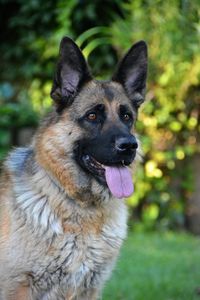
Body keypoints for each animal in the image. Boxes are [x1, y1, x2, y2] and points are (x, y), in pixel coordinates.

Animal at [0, 36, 147, 298]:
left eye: (127, 117)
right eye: (92, 116)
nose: (130, 146)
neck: (81, 206)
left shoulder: (89, 289)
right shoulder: (18, 288)